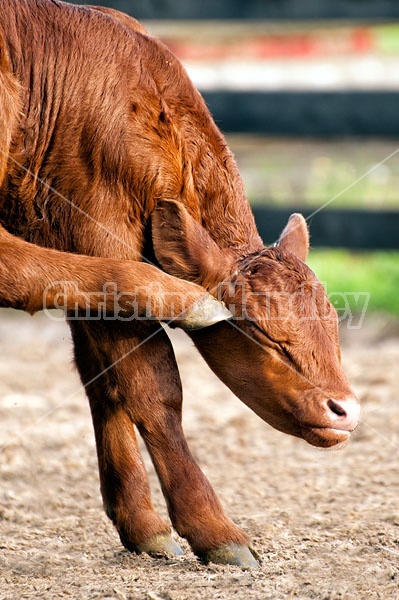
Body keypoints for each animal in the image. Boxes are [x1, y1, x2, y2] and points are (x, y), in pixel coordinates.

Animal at [0, 0, 360, 564]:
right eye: (265, 335)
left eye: (333, 326)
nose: (345, 411)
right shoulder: (96, 234)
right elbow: (154, 387)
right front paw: (214, 529)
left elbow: (104, 380)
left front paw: (141, 524)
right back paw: (188, 300)